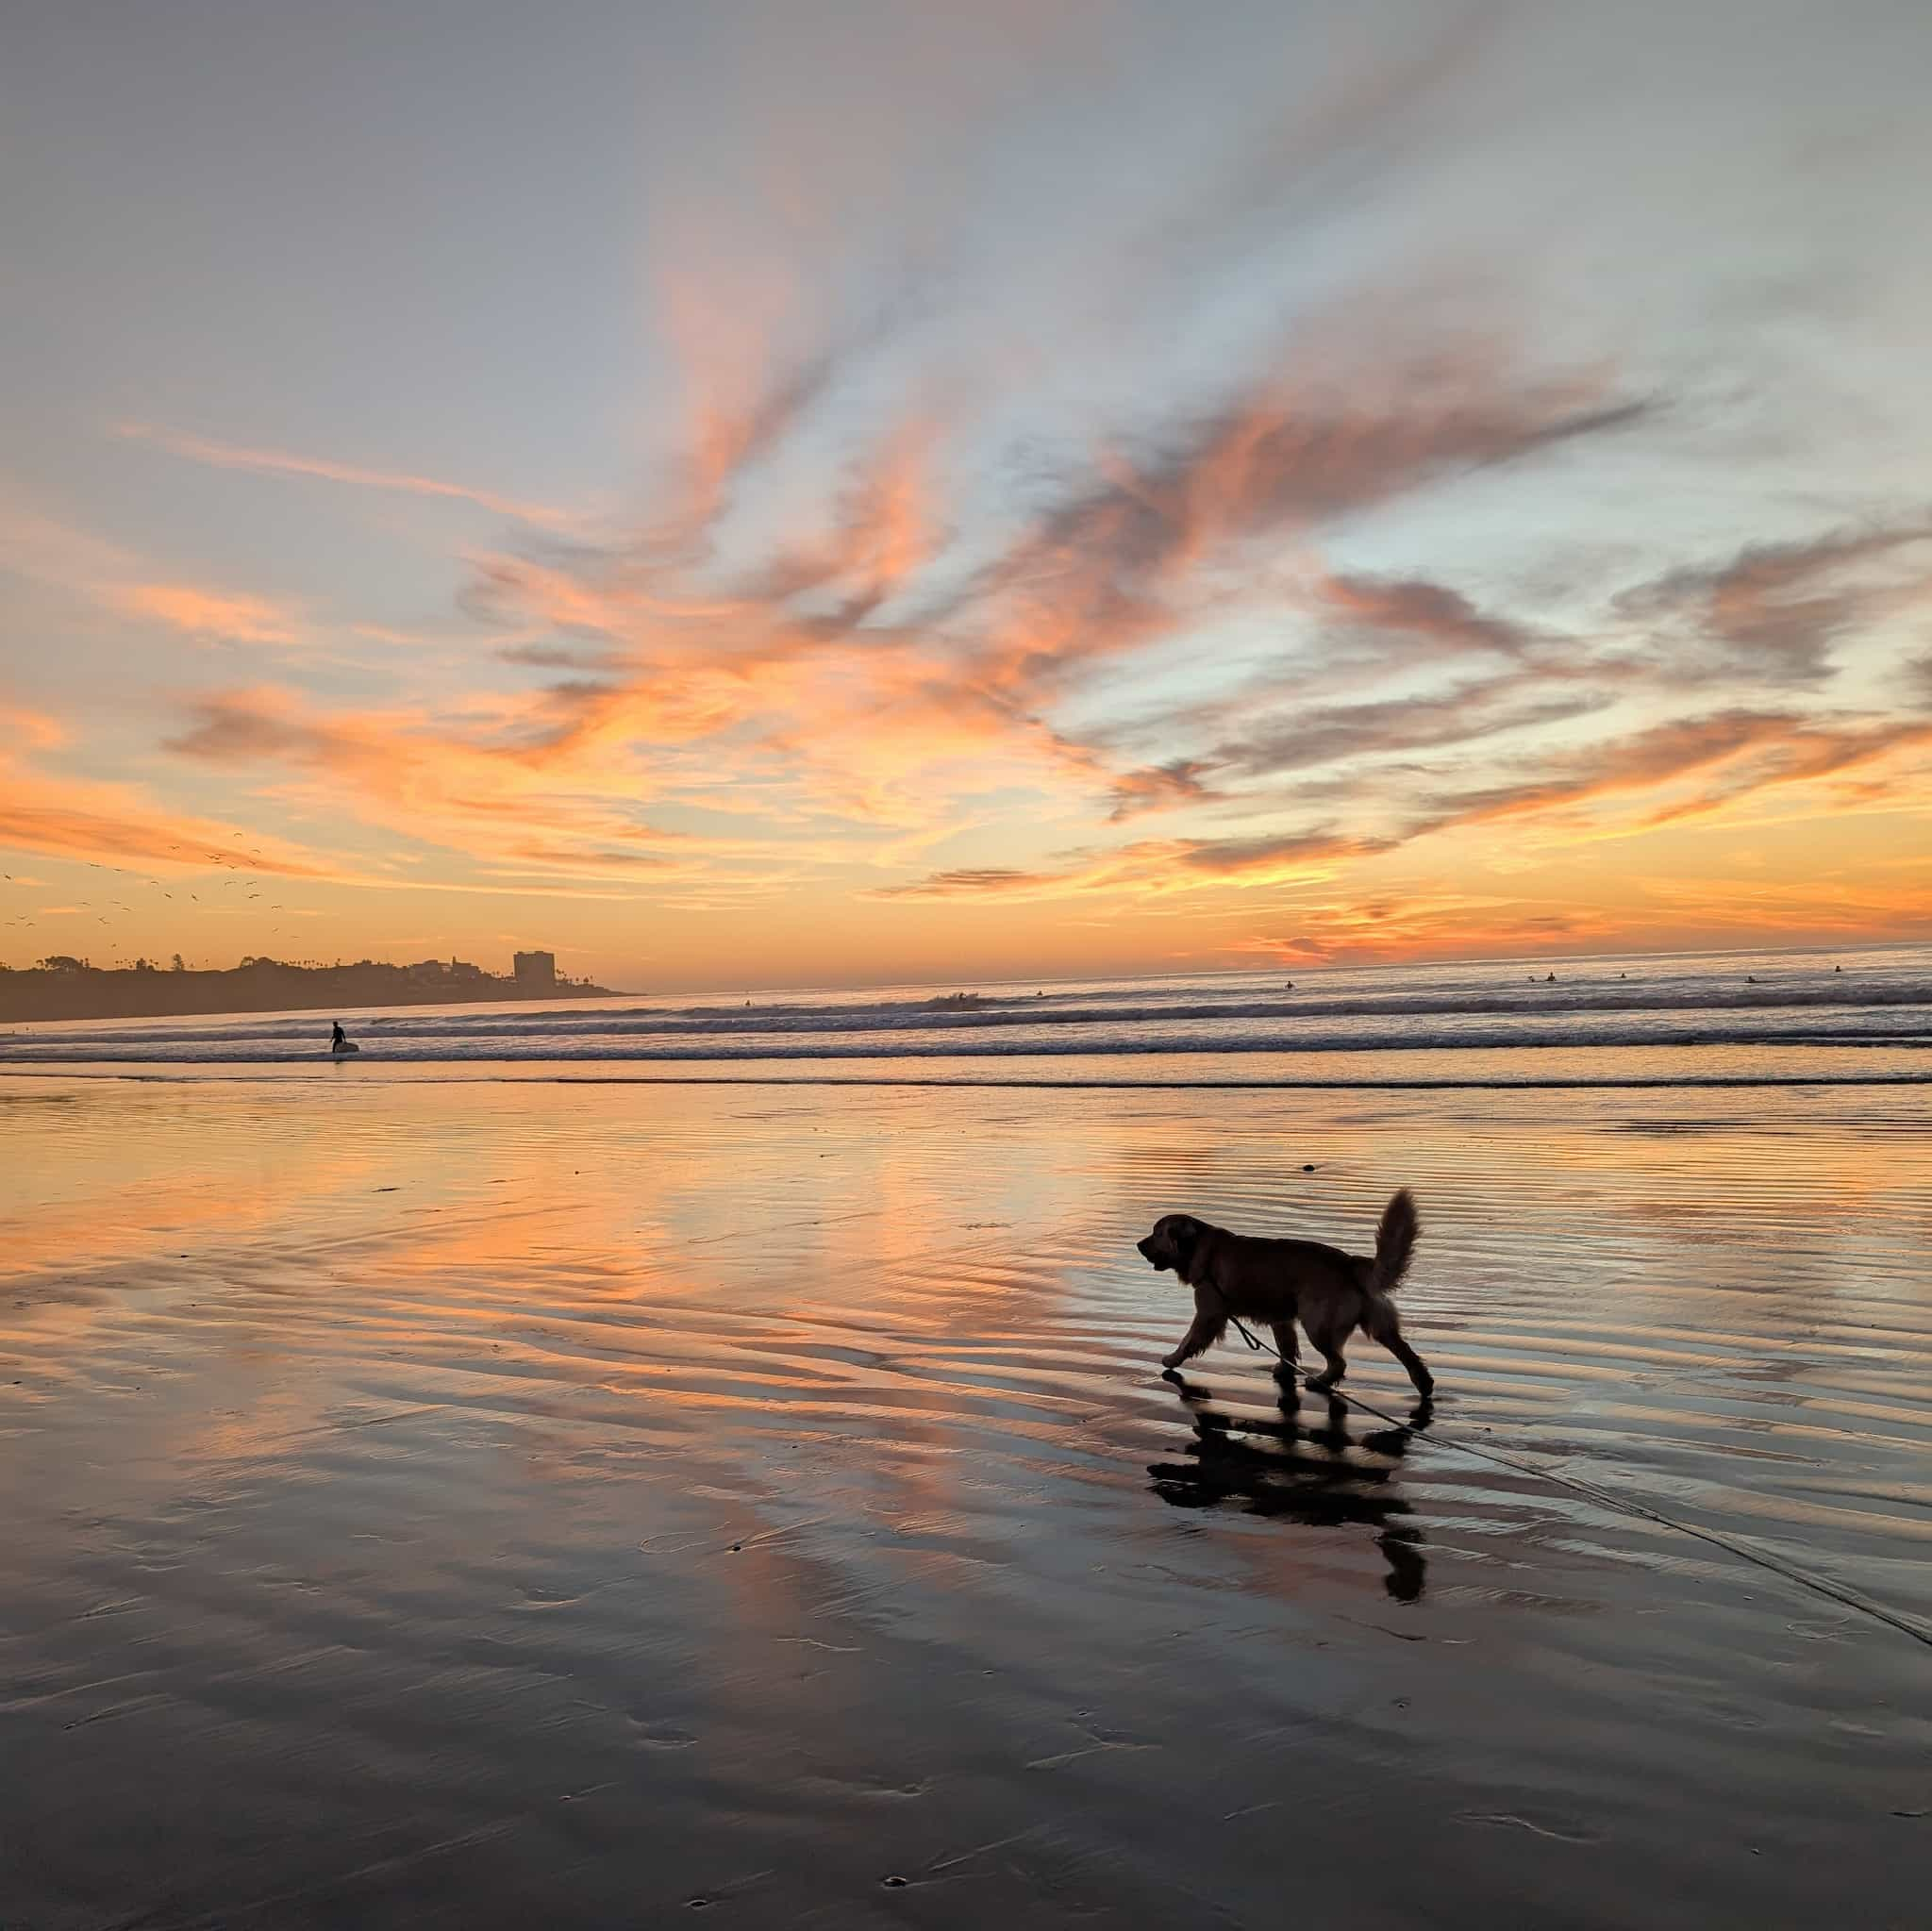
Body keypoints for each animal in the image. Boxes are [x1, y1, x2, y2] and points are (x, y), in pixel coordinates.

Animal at [1128, 1181, 1437, 1398]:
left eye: (1156, 1234)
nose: (1138, 1245)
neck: (1198, 1249)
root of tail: (1352, 1263)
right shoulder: (1281, 1317)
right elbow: (1286, 1347)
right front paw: (1283, 1369)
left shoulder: (1209, 1313)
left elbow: (1188, 1340)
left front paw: (1172, 1359)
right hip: (1379, 1324)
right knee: (1406, 1353)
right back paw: (1423, 1383)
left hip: (1318, 1324)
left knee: (1338, 1363)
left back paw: (1320, 1382)